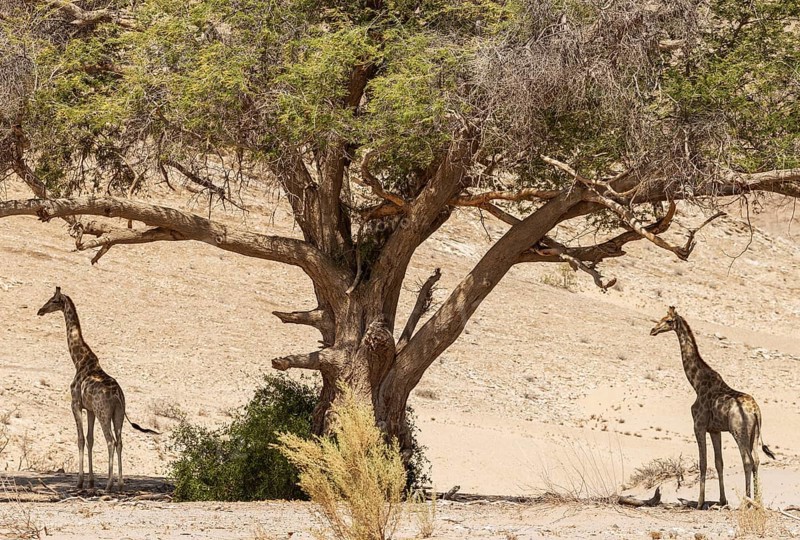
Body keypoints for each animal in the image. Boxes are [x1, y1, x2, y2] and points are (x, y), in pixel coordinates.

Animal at [38, 287, 158, 491]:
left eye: (53, 300)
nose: (40, 310)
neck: (79, 361)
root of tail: (118, 396)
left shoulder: (76, 404)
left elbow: (80, 439)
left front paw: (80, 482)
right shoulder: (91, 410)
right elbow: (90, 439)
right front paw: (91, 482)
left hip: (104, 413)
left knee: (110, 441)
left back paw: (109, 485)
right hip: (118, 415)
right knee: (120, 441)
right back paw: (120, 484)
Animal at [650, 306, 775, 509]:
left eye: (668, 321)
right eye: (661, 317)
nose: (653, 330)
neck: (696, 382)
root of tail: (756, 412)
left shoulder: (699, 426)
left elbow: (703, 462)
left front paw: (700, 503)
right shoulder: (715, 430)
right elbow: (718, 462)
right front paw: (722, 500)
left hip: (739, 431)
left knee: (747, 460)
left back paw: (746, 502)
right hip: (754, 434)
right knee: (756, 460)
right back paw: (757, 501)